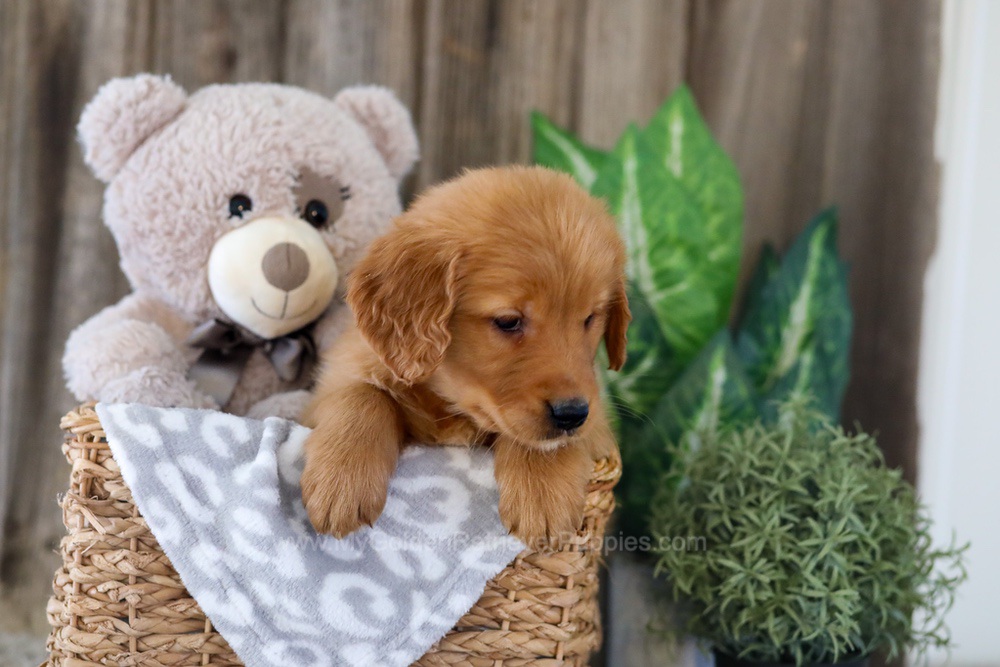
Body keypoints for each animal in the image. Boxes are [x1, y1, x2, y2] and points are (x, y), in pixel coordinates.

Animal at [300, 165, 630, 542]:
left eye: (590, 318)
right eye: (508, 321)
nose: (571, 413)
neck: (452, 401)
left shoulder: (598, 421)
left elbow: (547, 440)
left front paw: (544, 492)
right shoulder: (341, 374)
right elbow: (362, 394)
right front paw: (341, 481)